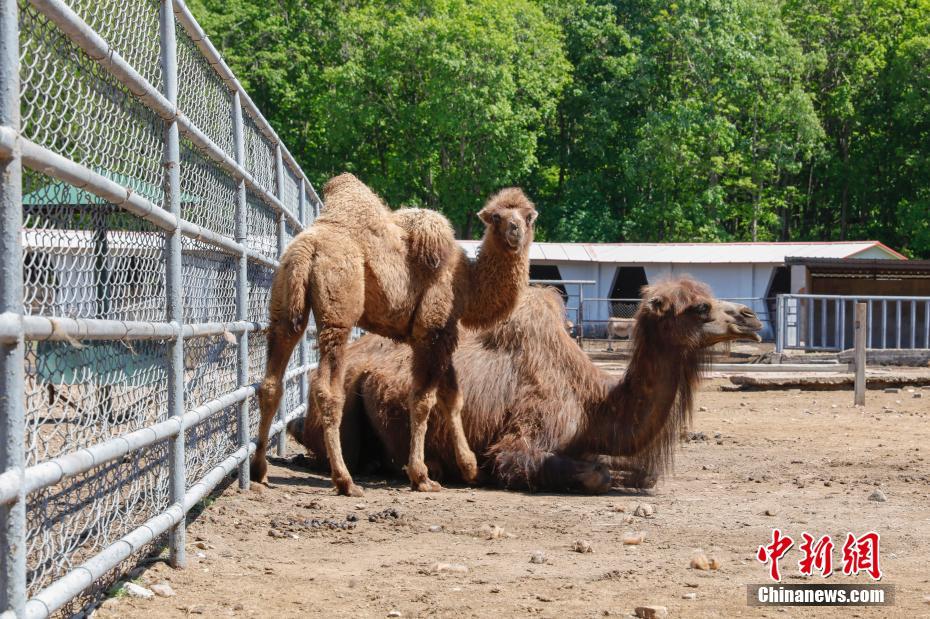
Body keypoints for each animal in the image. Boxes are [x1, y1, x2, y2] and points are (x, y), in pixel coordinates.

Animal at [250, 172, 532, 496]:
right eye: (497, 217)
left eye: (529, 215)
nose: (515, 231)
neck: (469, 285)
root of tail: (309, 248)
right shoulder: (431, 331)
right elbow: (423, 400)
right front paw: (422, 476)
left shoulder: (442, 334)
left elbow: (452, 397)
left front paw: (470, 468)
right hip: (338, 311)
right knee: (327, 389)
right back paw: (345, 481)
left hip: (284, 301)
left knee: (271, 382)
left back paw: (259, 470)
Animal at [288, 278, 760, 492]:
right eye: (700, 308)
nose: (750, 318)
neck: (591, 402)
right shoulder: (527, 436)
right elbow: (594, 472)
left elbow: (640, 472)